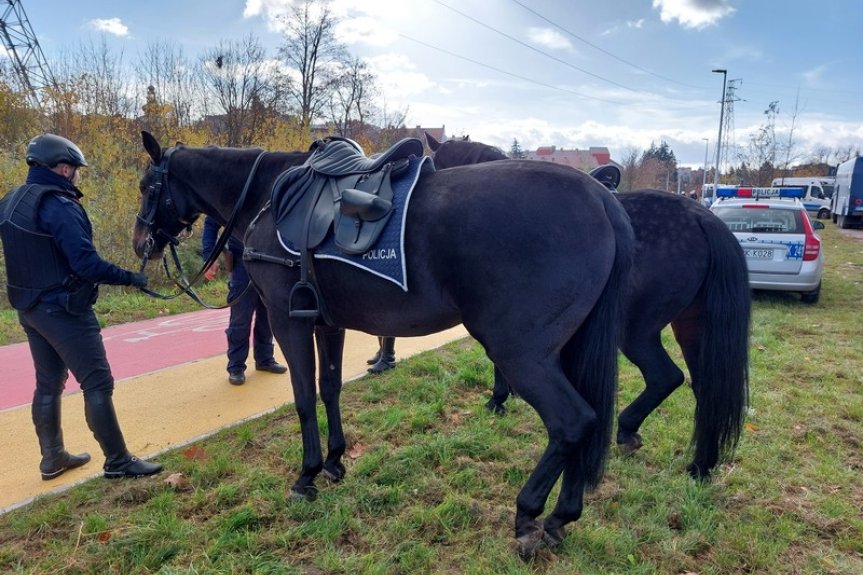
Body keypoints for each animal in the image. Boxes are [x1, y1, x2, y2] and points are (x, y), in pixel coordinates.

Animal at [133, 132, 636, 560]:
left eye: (146, 186)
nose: (141, 243)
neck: (268, 199)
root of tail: (602, 199)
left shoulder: (284, 319)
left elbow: (303, 398)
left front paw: (307, 474)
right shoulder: (325, 323)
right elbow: (329, 389)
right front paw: (335, 462)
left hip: (520, 354)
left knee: (573, 422)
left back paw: (530, 513)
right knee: (589, 421)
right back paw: (561, 517)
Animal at [428, 133, 752, 480]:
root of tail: (701, 217)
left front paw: (497, 399)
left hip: (636, 331)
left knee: (665, 377)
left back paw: (629, 431)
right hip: (692, 325)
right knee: (707, 389)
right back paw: (700, 465)